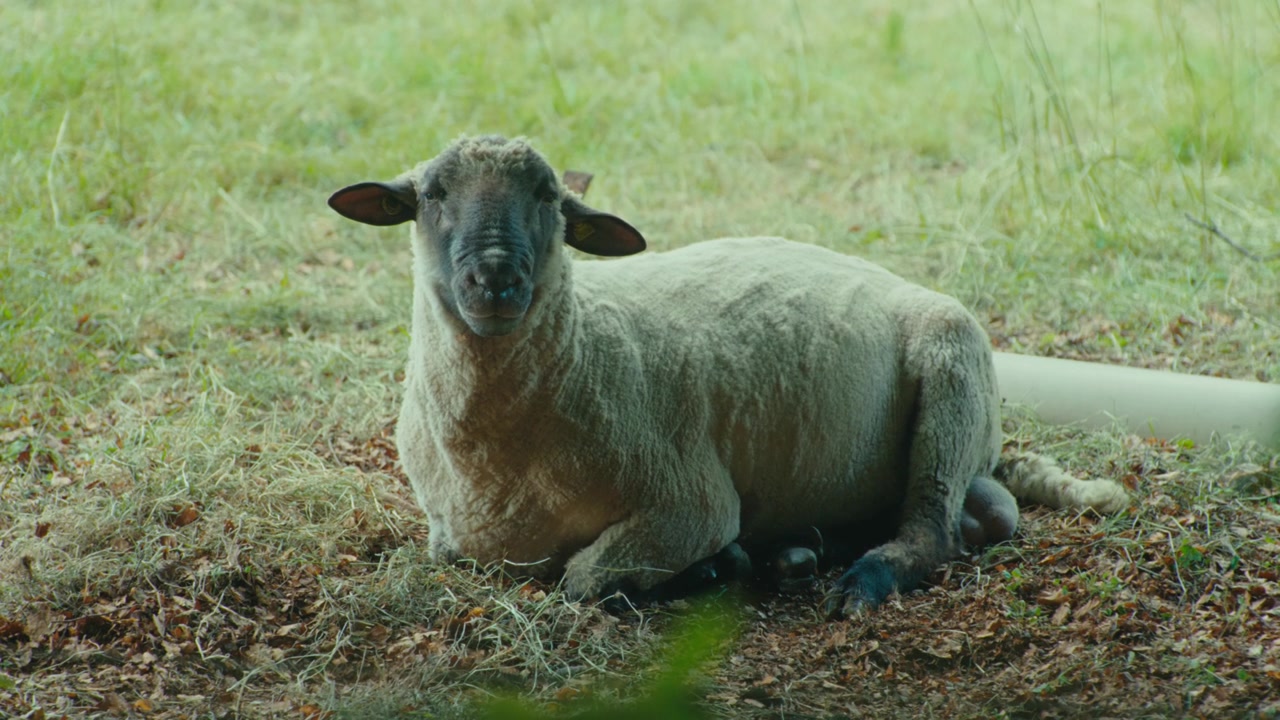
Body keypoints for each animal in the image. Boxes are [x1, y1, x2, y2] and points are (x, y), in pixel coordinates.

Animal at [327, 135, 1129, 616]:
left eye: (549, 198)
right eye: (431, 196)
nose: (495, 280)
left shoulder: (690, 502)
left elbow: (583, 579)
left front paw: (712, 568)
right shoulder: (450, 537)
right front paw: (734, 564)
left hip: (952, 373)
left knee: (934, 531)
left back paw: (856, 578)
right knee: (975, 513)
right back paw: (797, 553)